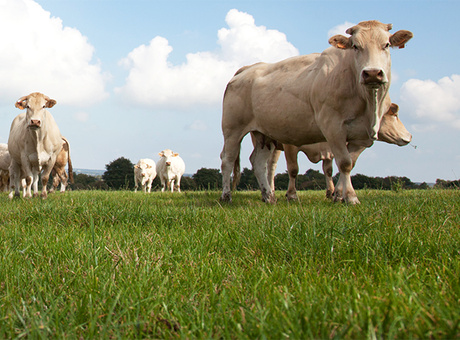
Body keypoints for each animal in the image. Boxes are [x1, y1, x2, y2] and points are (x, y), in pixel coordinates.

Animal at [268, 102, 412, 201]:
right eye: (395, 115)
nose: (410, 136)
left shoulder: (332, 149)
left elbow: (333, 169)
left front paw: (334, 193)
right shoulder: (290, 145)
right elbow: (293, 169)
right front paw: (292, 195)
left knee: (271, 167)